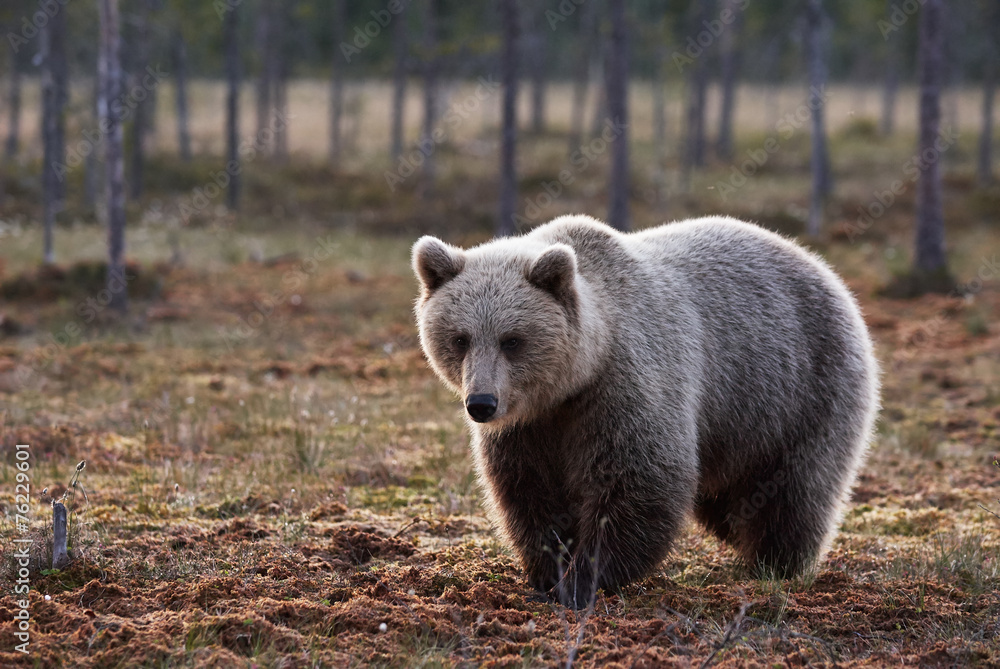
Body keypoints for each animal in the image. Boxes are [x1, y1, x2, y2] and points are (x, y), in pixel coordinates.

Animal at [411, 215, 880, 608]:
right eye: (460, 338)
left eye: (512, 339)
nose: (481, 403)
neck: (572, 384)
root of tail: (822, 268)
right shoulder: (529, 429)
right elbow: (528, 492)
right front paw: (548, 573)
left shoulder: (627, 387)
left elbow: (638, 480)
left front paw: (581, 582)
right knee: (730, 501)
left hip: (800, 388)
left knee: (795, 489)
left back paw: (776, 565)